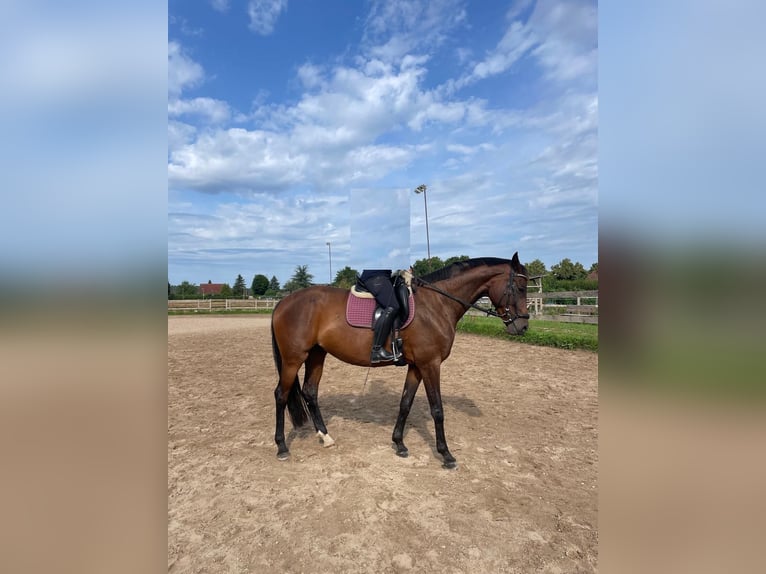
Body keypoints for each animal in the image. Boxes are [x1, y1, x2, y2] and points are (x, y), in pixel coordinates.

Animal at [270, 252, 530, 468]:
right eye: (519, 287)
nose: (523, 326)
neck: (436, 304)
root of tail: (282, 302)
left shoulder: (416, 366)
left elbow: (405, 403)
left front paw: (399, 444)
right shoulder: (430, 364)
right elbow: (437, 409)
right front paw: (446, 455)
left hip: (316, 355)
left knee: (310, 392)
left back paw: (325, 437)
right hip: (293, 359)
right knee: (281, 395)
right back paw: (282, 447)